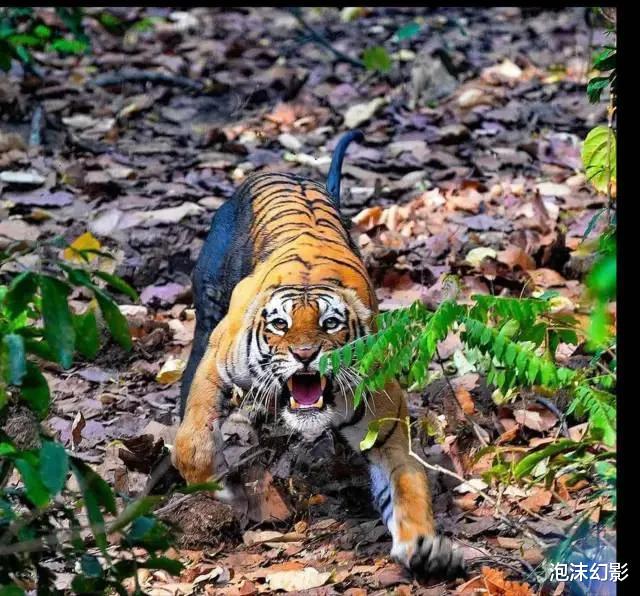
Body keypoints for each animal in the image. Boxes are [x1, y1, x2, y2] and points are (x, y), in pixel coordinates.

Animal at [174, 129, 464, 576]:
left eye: (331, 324)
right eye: (280, 324)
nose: (306, 354)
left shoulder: (388, 433)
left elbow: (407, 483)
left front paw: (423, 544)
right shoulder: (218, 361)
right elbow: (194, 436)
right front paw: (217, 487)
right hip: (208, 307)